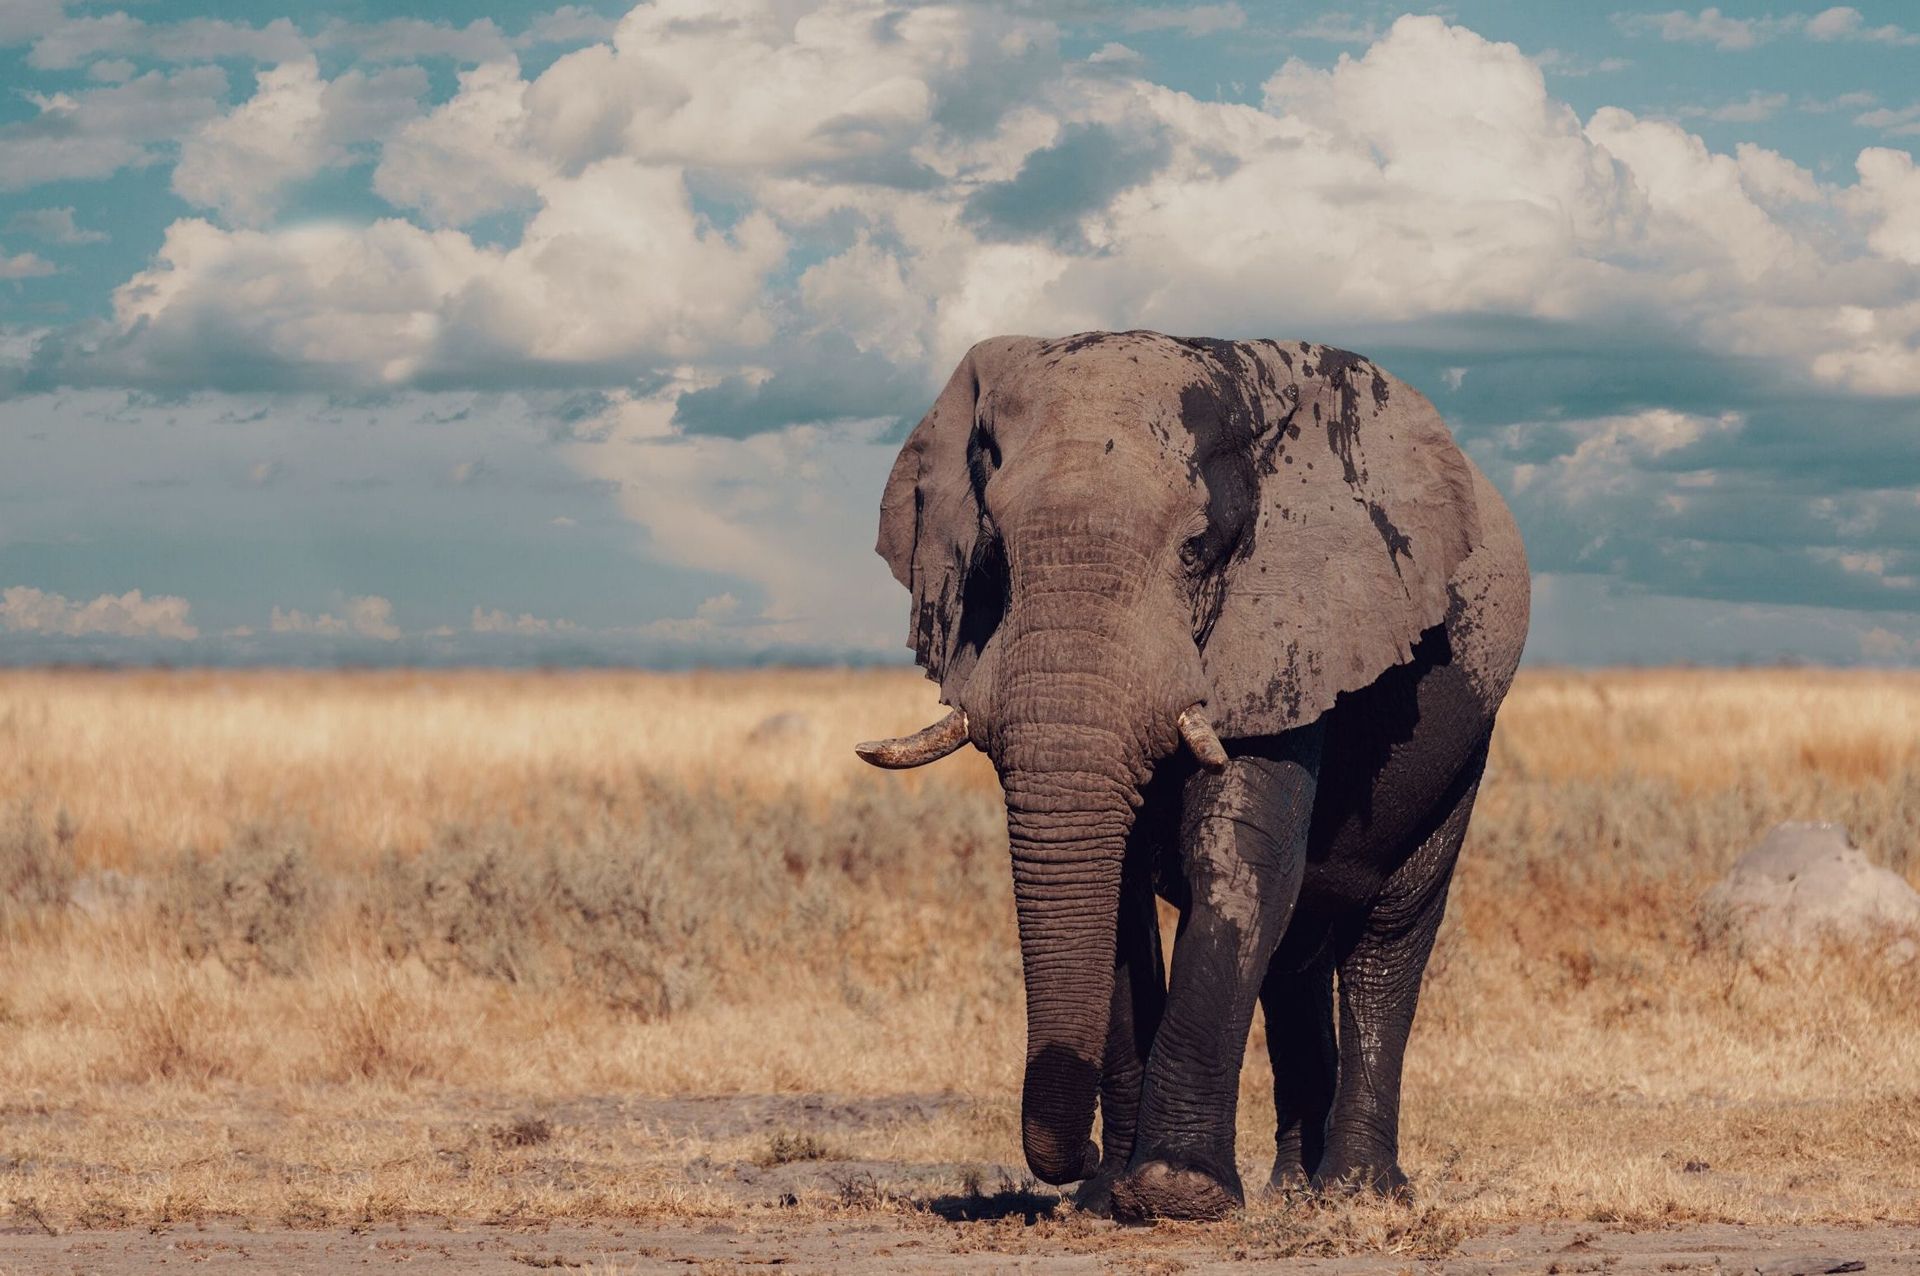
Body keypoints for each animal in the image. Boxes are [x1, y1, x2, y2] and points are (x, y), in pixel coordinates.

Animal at [855, 330, 1529, 1223]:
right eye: (994, 554)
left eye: (1196, 552)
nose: (1079, 1159)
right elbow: (1122, 894)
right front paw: (1111, 1197)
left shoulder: (1290, 630)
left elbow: (1237, 863)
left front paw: (1176, 1193)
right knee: (1297, 950)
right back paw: (1292, 1190)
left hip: (1464, 740)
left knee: (1388, 936)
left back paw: (1356, 1192)